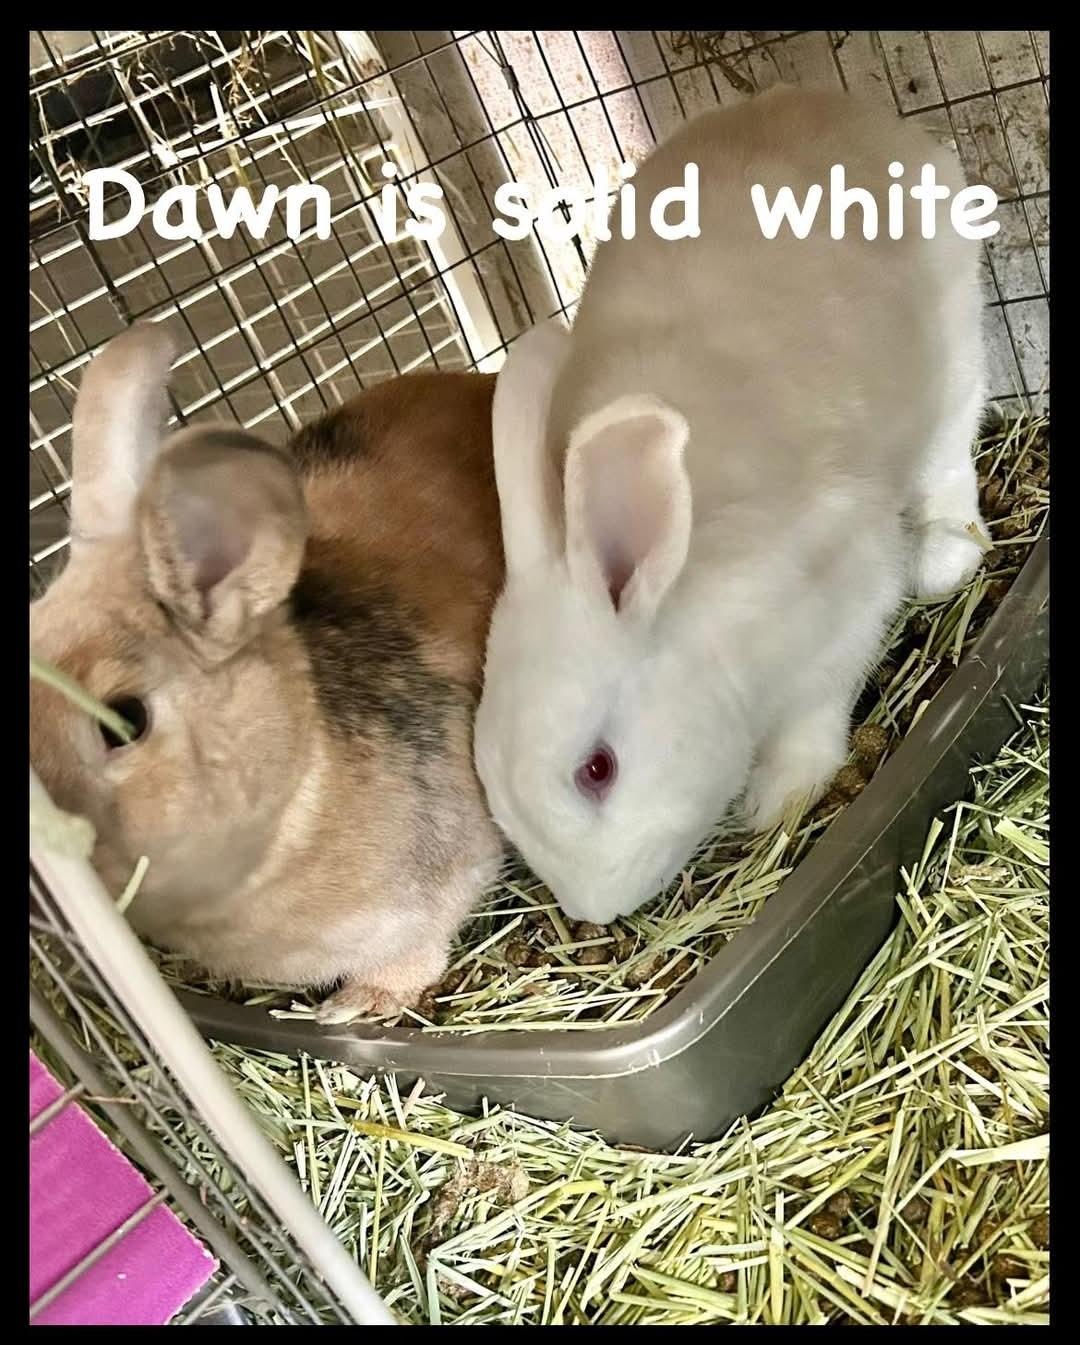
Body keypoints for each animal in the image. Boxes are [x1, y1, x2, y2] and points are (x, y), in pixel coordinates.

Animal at [474, 85, 989, 926]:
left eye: (597, 768)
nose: (595, 910)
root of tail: (849, 110)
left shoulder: (847, 601)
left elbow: (817, 708)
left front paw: (780, 795)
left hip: (957, 337)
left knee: (952, 444)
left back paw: (947, 558)